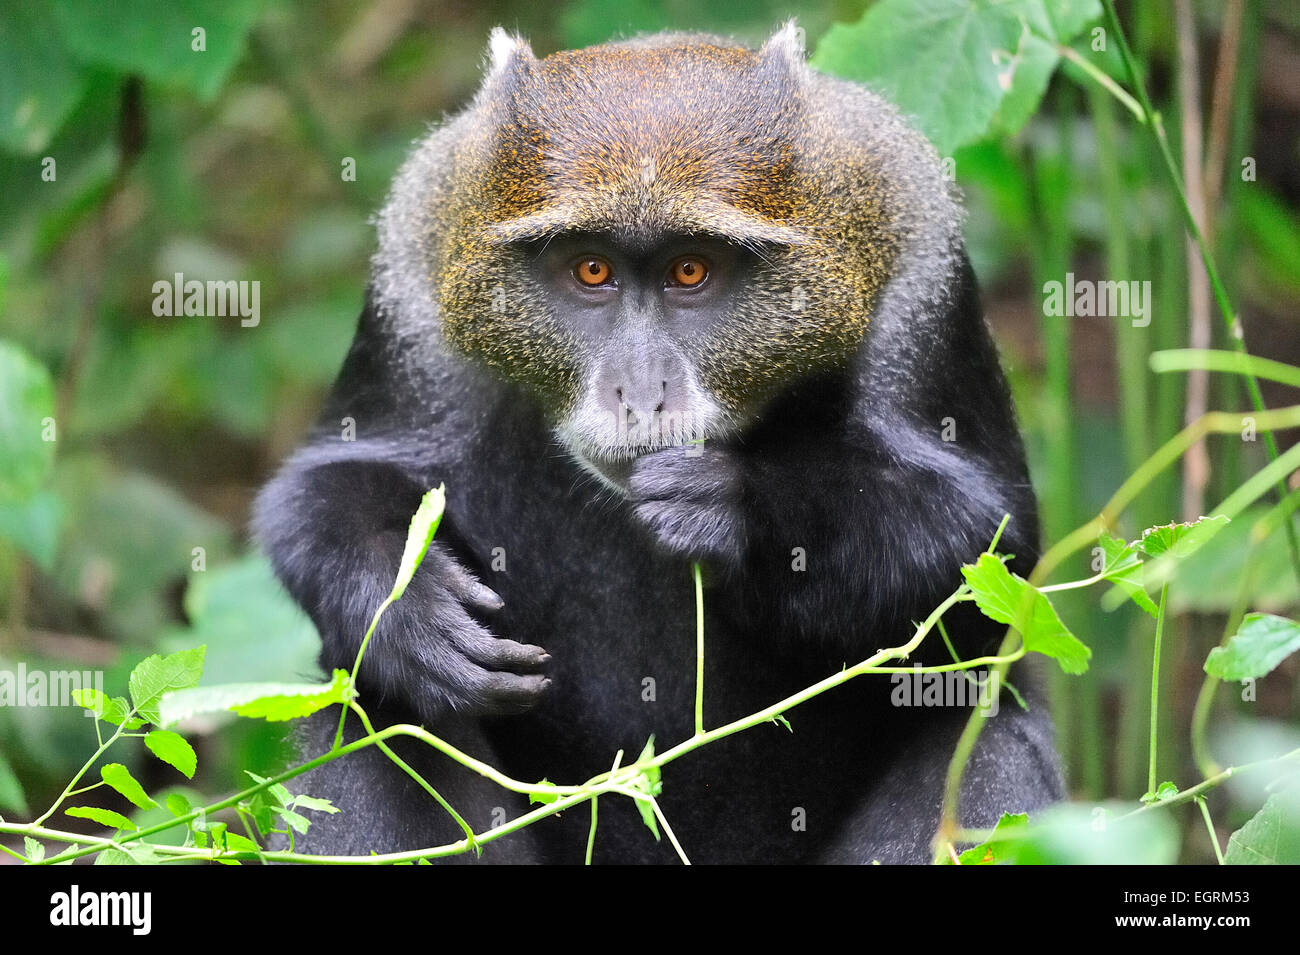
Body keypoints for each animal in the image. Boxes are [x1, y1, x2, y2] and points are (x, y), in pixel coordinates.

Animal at [248, 22, 1060, 862]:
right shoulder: (419, 256)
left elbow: (988, 542)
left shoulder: (918, 260)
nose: (641, 392)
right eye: (591, 269)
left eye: (690, 271)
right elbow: (335, 474)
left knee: (983, 733)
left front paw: (732, 504)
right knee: (371, 712)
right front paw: (405, 601)